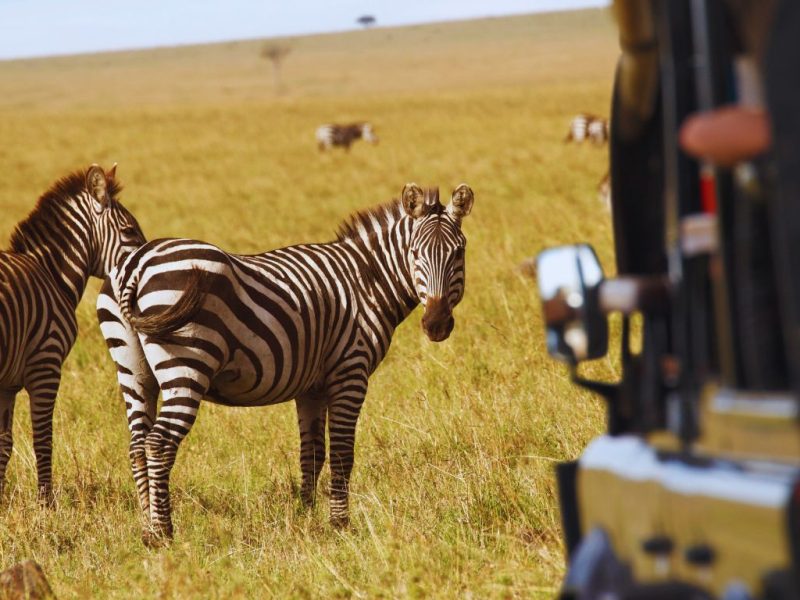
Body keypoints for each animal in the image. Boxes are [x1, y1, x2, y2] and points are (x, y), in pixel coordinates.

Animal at [0, 164, 145, 503]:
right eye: (130, 232)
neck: (51, 273)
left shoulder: (7, 385)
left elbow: (4, 444)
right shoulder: (46, 366)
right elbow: (43, 438)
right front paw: (46, 503)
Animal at [96, 182, 474, 544]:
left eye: (459, 253)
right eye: (415, 254)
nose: (436, 325)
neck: (365, 281)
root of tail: (136, 264)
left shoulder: (312, 387)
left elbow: (312, 454)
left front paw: (307, 518)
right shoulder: (350, 372)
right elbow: (342, 453)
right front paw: (340, 525)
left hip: (134, 371)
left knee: (137, 445)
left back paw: (147, 527)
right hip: (186, 364)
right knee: (158, 443)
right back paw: (163, 533)